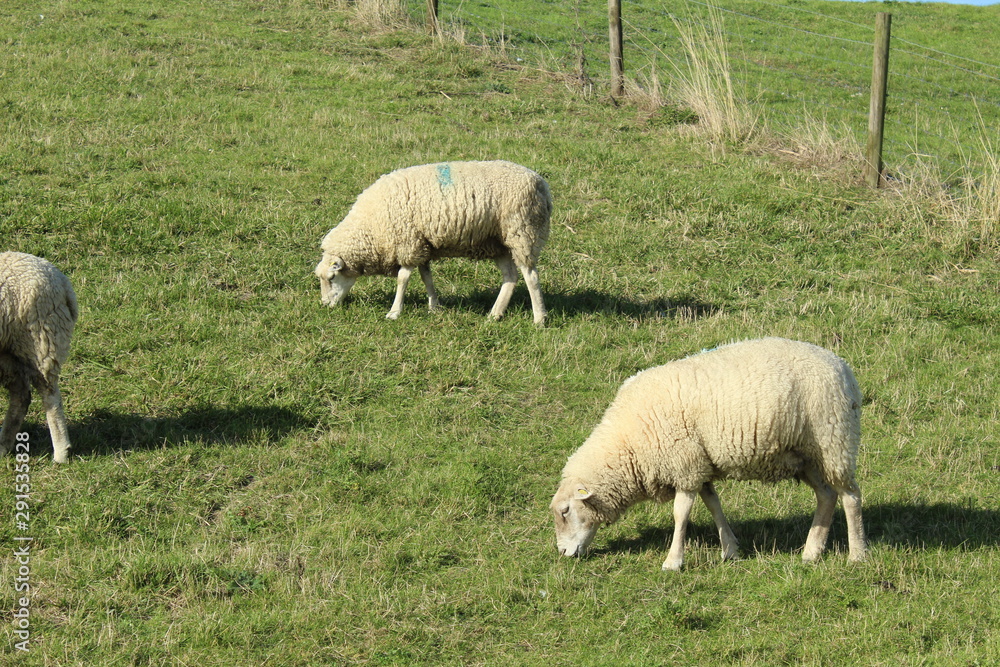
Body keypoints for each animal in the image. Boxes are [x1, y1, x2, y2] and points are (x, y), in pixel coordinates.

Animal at [0, 252, 78, 464]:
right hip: (8, 352)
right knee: (21, 396)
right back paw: (3, 444)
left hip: (40, 341)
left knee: (49, 395)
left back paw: (61, 453)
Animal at [315, 160, 551, 325]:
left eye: (332, 277)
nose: (324, 305)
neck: (371, 226)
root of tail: (542, 185)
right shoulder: (422, 245)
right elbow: (426, 277)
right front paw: (434, 306)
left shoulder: (408, 243)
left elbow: (402, 279)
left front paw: (394, 312)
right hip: (499, 243)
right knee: (510, 277)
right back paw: (495, 314)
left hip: (522, 232)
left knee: (531, 276)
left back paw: (539, 318)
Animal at [550, 337, 866, 571]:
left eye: (565, 511)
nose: (562, 552)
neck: (628, 442)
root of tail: (843, 367)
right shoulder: (699, 464)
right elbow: (713, 504)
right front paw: (731, 549)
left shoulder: (685, 465)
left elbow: (681, 514)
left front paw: (673, 561)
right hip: (807, 455)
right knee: (827, 495)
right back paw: (812, 552)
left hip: (834, 440)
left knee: (850, 496)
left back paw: (857, 554)